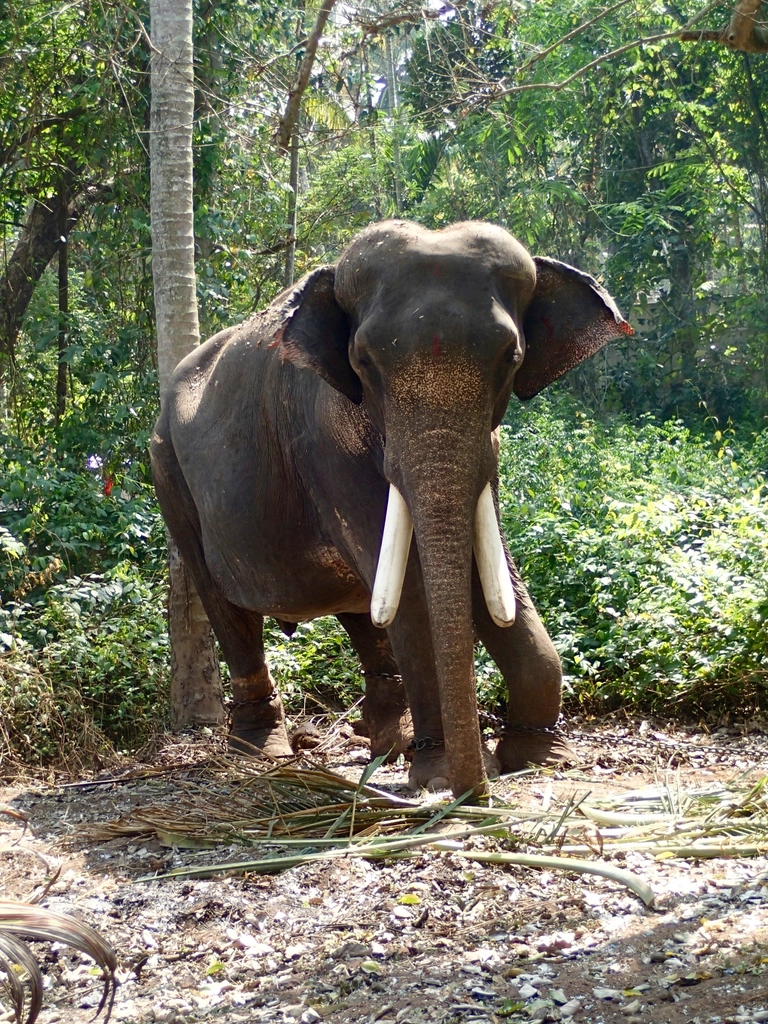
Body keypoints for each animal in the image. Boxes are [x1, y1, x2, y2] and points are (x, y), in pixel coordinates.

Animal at [151, 219, 631, 798]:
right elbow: (415, 588)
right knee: (226, 605)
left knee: (361, 607)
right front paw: (441, 772)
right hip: (169, 473)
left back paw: (388, 741)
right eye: (363, 362)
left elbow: (490, 570)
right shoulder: (322, 442)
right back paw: (261, 751)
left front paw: (541, 758)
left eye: (512, 359)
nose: (475, 788)